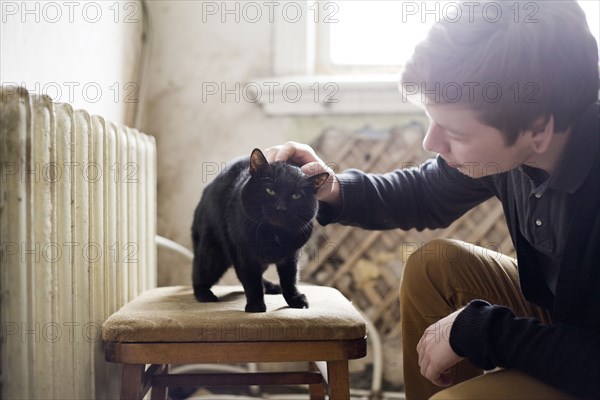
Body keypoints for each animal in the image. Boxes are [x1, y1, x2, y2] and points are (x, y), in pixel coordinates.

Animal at [191, 148, 328, 312]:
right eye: (270, 191)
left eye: (296, 196)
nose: (281, 208)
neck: (274, 234)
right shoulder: (244, 255)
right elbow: (251, 282)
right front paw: (255, 305)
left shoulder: (291, 256)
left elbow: (290, 280)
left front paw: (294, 299)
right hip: (212, 253)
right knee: (199, 274)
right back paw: (204, 294)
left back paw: (272, 287)